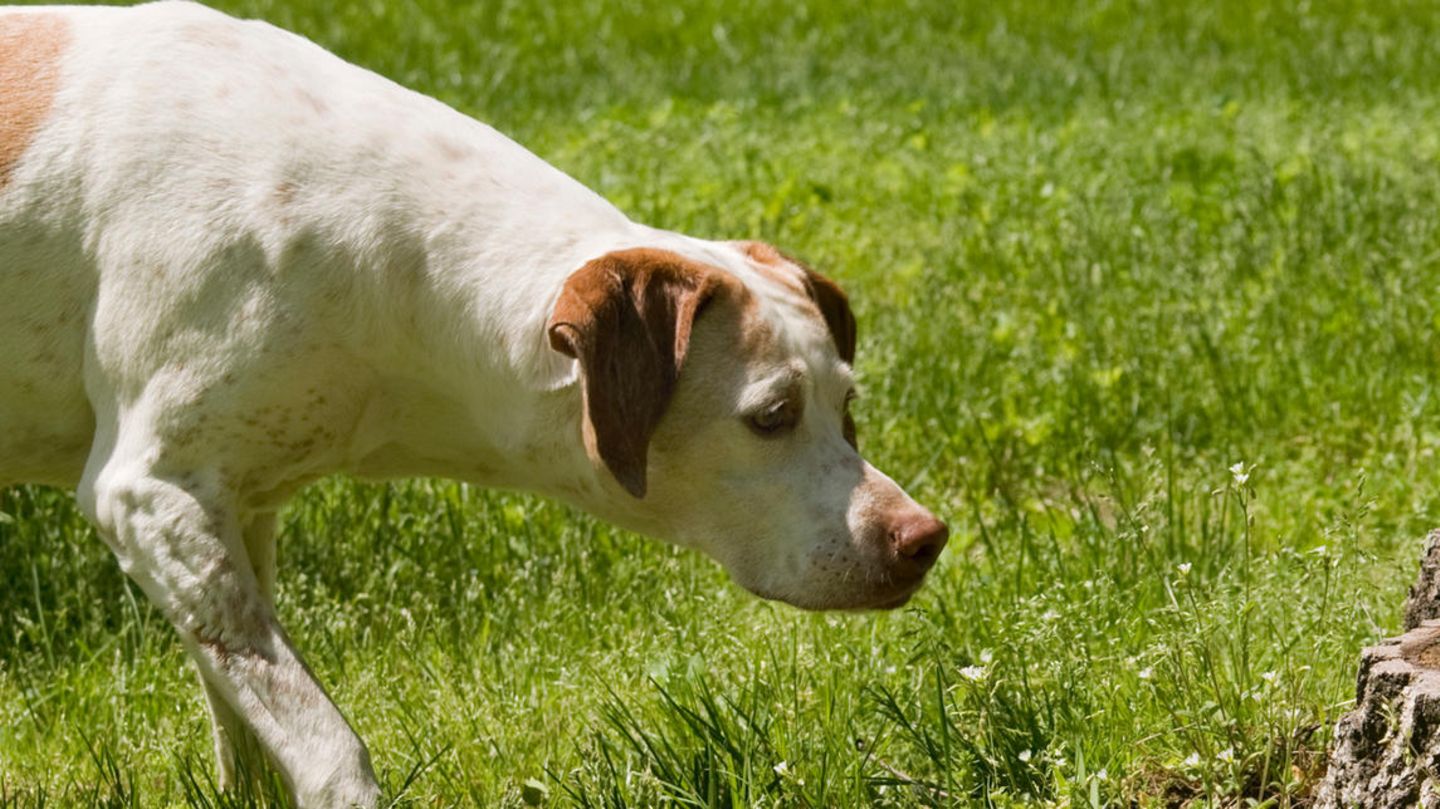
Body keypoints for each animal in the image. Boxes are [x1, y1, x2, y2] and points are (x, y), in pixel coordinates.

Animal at [0, 3, 950, 800]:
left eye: (846, 402)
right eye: (771, 416)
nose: (925, 538)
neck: (382, 263)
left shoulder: (233, 508)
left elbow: (244, 722)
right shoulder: (150, 494)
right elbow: (323, 742)